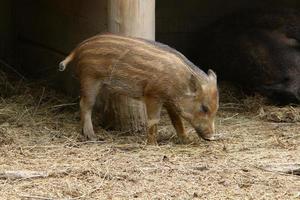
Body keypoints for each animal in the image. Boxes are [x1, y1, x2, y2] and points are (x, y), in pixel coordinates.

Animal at [58, 33, 219, 145]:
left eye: (216, 109)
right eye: (204, 108)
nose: (211, 137)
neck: (178, 83)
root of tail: (79, 47)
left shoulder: (169, 102)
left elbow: (177, 121)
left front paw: (186, 141)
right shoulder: (152, 95)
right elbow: (153, 120)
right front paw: (153, 145)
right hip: (89, 78)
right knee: (85, 104)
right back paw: (92, 136)